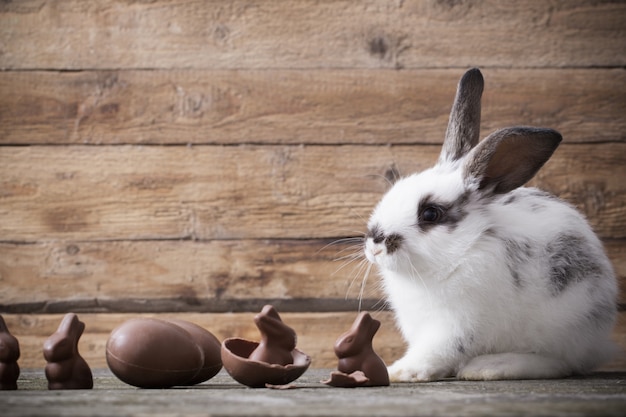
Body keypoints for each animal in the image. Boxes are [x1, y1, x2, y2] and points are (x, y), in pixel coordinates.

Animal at [364, 67, 616, 380]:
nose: (374, 244)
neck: (458, 255)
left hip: (565, 324)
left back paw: (489, 367)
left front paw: (397, 371)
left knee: (560, 363)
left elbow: (434, 353)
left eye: (430, 214)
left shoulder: (456, 327)